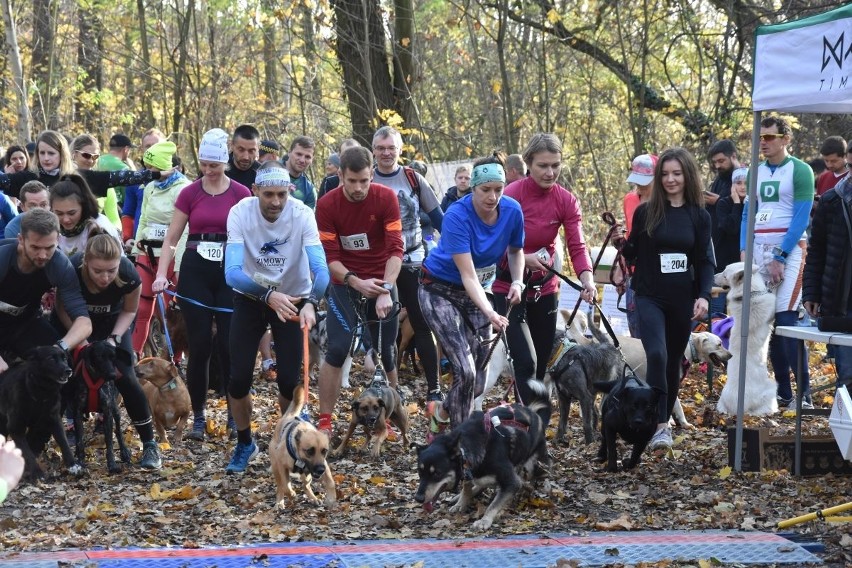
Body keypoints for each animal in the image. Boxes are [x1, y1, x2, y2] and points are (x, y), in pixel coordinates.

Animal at [0, 346, 82, 480]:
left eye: (64, 358)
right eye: (51, 359)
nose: (69, 370)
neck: (41, 393)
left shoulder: (54, 420)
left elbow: (63, 442)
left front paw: (73, 465)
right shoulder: (15, 428)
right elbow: (27, 452)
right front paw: (37, 472)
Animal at [65, 340, 132, 472]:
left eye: (113, 357)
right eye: (99, 357)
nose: (113, 375)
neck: (95, 377)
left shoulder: (107, 411)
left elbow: (109, 441)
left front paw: (112, 464)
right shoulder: (77, 413)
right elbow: (79, 441)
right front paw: (81, 463)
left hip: (115, 410)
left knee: (118, 431)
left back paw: (124, 452)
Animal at [414, 380, 552, 532]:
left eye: (437, 473)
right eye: (420, 472)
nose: (418, 498)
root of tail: (535, 415)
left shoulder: (512, 482)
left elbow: (494, 504)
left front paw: (484, 520)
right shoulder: (467, 472)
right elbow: (466, 488)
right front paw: (461, 503)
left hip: (531, 464)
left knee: (534, 476)